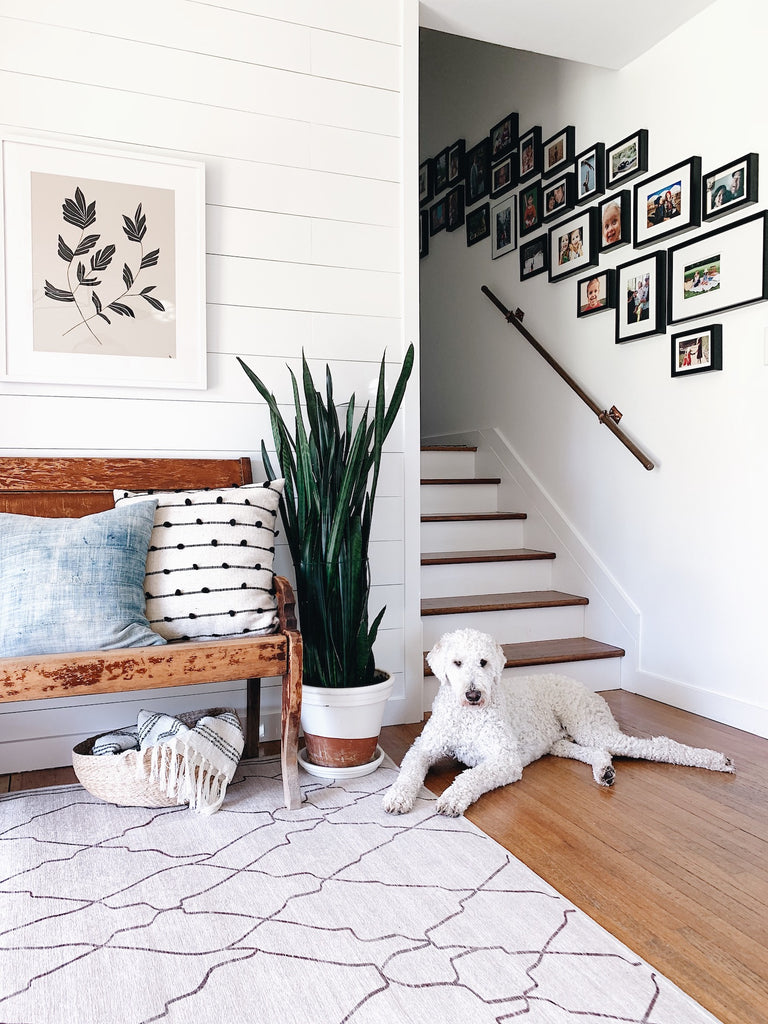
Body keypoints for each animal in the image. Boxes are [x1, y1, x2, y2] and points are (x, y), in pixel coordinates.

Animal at [382, 622, 733, 815]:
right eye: (456, 663)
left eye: (483, 662)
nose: (473, 694)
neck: (468, 715)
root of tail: (583, 686)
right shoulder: (424, 747)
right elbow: (409, 771)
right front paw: (398, 796)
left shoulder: (504, 759)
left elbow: (470, 777)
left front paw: (452, 799)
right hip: (560, 743)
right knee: (596, 752)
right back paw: (604, 771)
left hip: (588, 725)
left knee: (655, 746)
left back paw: (716, 759)